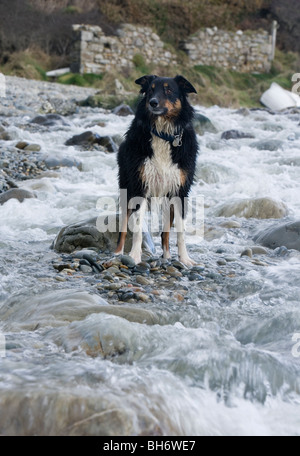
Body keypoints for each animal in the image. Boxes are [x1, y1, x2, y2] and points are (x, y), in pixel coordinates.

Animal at [116, 74, 198, 266]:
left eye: (168, 90)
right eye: (151, 90)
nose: (153, 102)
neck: (163, 134)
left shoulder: (180, 191)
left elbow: (180, 231)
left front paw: (185, 259)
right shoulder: (140, 186)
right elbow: (137, 227)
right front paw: (134, 256)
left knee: (165, 232)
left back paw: (167, 256)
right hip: (126, 189)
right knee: (123, 227)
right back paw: (117, 254)